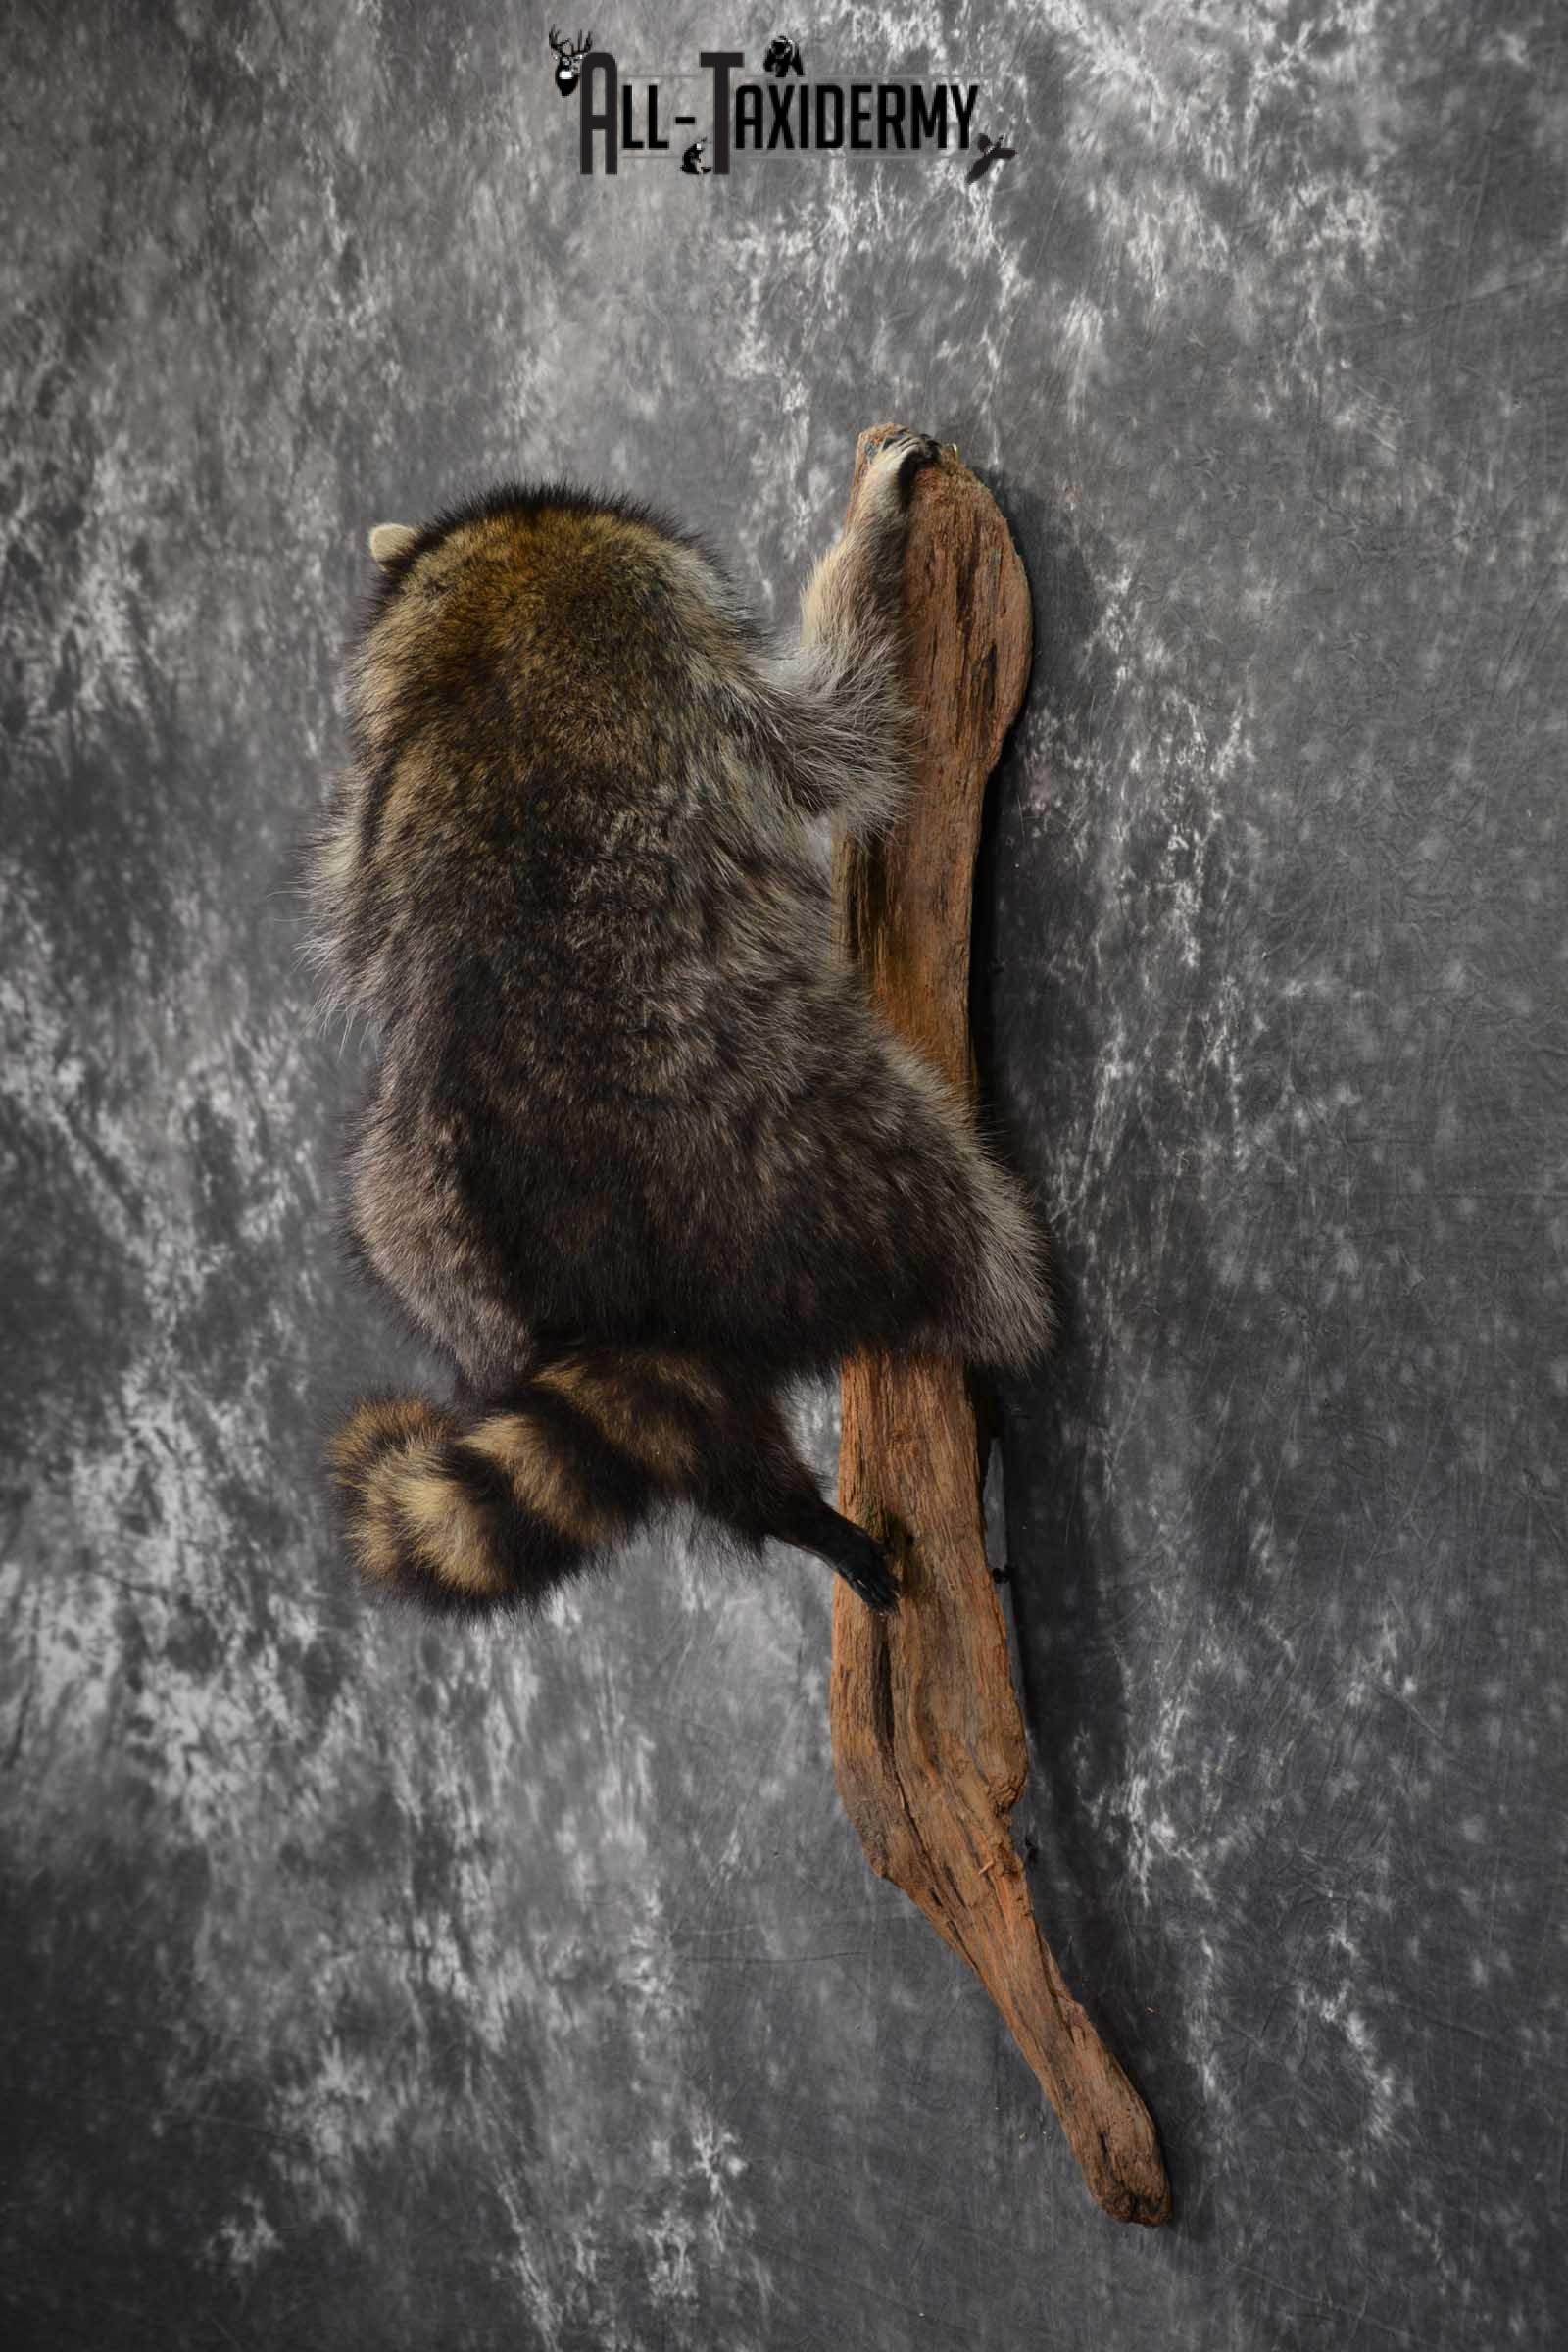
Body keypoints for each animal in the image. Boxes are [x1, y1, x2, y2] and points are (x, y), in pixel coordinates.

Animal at [312, 429, 1053, 1624]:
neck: (490, 635)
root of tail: (615, 1312)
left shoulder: (368, 819)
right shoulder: (699, 698)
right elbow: (845, 733)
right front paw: (873, 541)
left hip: (418, 1237)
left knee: (696, 1431)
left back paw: (780, 1505)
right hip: (797, 1162)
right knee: (955, 1214)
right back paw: (1006, 1327)